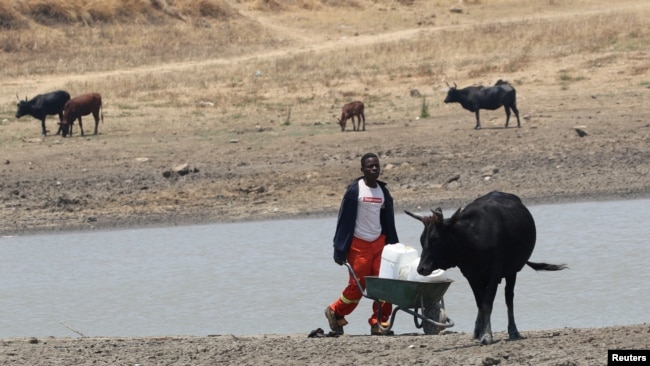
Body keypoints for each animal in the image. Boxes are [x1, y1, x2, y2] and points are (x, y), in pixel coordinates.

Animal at [402, 190, 564, 344]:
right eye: (422, 239)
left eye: (435, 239)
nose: (421, 268)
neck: (473, 238)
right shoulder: (470, 275)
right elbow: (480, 304)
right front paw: (483, 333)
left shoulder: (494, 273)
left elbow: (487, 304)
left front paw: (486, 335)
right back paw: (477, 330)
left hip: (512, 271)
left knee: (509, 297)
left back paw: (513, 330)